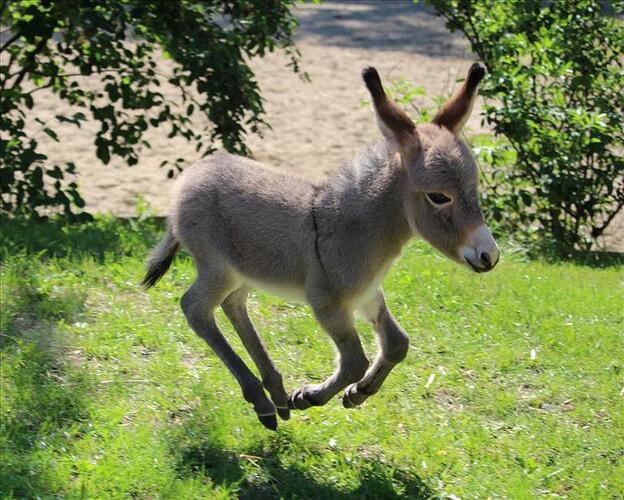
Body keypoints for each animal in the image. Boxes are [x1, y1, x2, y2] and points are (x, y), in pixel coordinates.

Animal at [144, 62, 500, 430]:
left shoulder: (367, 294)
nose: (489, 255)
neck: (357, 228)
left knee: (233, 305)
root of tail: (187, 180)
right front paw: (311, 396)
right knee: (194, 308)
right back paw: (263, 400)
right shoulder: (328, 303)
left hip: (241, 273)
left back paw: (275, 393)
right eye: (439, 197)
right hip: (217, 269)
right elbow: (355, 360)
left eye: (474, 188)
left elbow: (397, 344)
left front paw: (358, 393)